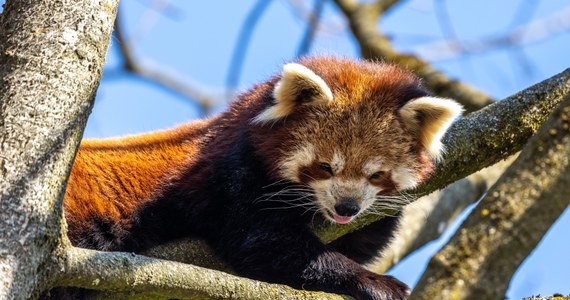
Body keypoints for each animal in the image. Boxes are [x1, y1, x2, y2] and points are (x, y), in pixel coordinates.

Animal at [62, 56, 462, 300]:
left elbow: (362, 242)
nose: (346, 207)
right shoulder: (230, 176)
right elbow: (263, 245)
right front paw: (374, 282)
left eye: (376, 174)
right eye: (324, 167)